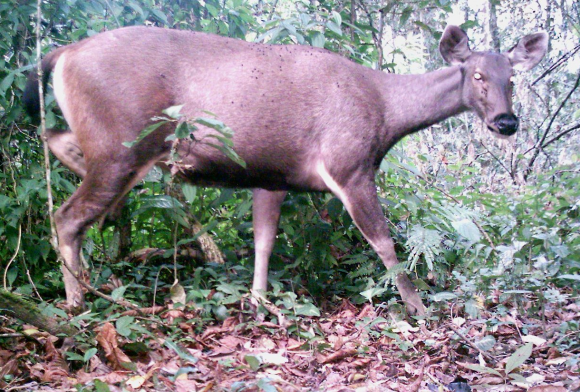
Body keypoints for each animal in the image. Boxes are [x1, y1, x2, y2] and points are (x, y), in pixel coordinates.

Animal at [23, 24, 548, 314]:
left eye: (512, 78)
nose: (507, 122)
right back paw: (76, 299)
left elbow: (263, 240)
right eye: (476, 75)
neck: (385, 113)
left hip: (106, 141)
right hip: (121, 141)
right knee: (66, 215)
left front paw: (258, 301)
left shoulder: (272, 175)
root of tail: (61, 54)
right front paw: (418, 308)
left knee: (56, 144)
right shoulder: (348, 163)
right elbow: (384, 242)